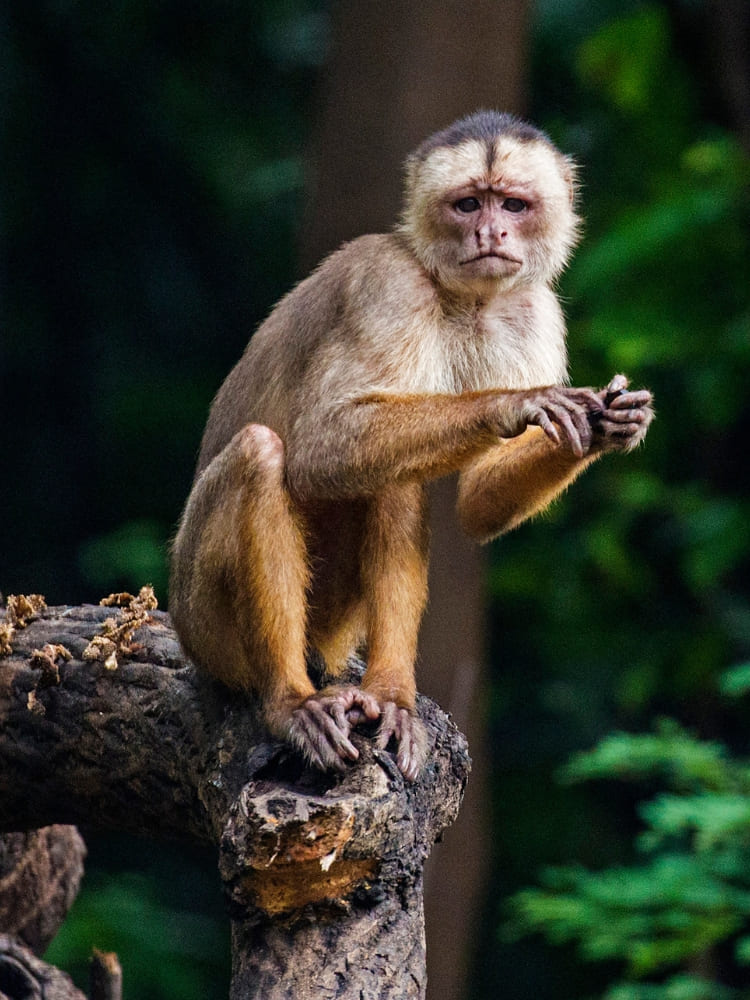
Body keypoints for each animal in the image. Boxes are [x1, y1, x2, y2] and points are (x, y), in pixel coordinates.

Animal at [169, 110, 653, 782]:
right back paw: (289, 701)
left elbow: (476, 500)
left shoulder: (532, 309)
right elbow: (322, 446)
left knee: (395, 476)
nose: (491, 231)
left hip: (331, 622)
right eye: (468, 203)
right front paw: (517, 402)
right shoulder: (387, 282)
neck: (461, 295)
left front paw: (607, 427)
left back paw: (391, 692)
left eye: (513, 204)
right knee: (262, 454)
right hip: (202, 625)